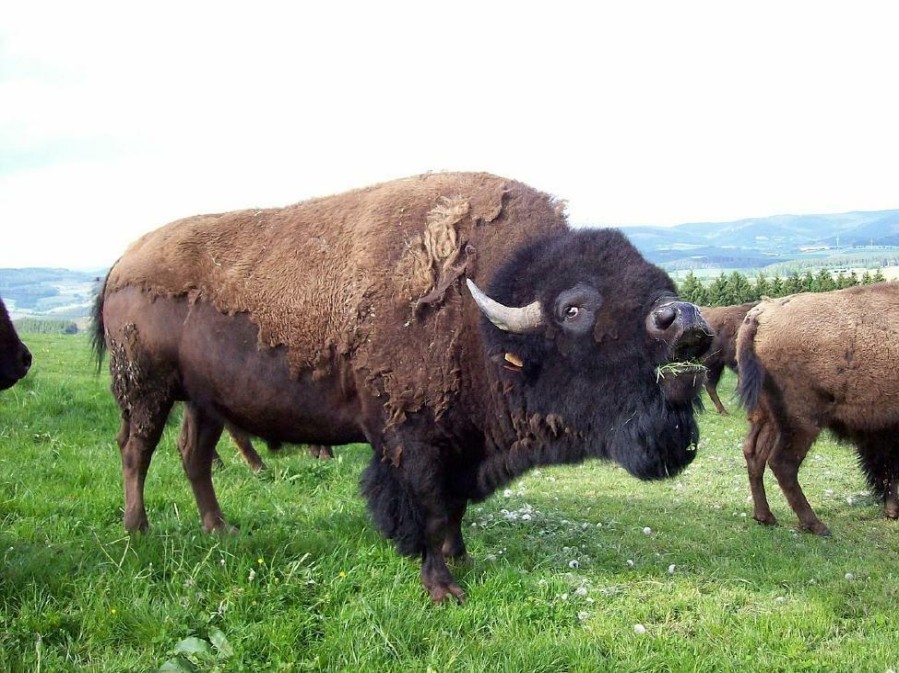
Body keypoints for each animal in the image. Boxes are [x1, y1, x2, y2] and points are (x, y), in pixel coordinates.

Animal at [91, 171, 712, 600]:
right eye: (574, 308)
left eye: (658, 279)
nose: (682, 319)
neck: (483, 309)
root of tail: (122, 262)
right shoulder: (410, 442)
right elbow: (426, 509)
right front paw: (443, 587)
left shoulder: (461, 445)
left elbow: (454, 509)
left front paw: (462, 560)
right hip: (145, 389)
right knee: (136, 450)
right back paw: (138, 530)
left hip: (205, 402)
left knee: (193, 456)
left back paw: (222, 530)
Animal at [740, 282, 899, 536]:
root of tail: (762, 313)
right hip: (802, 423)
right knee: (782, 463)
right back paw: (816, 525)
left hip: (766, 417)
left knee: (754, 453)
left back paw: (766, 517)